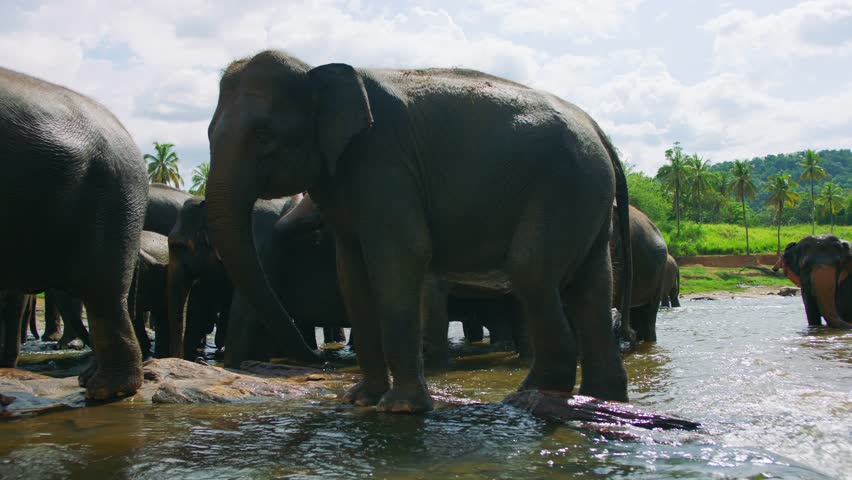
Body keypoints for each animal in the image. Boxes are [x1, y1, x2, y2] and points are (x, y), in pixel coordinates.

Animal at [205, 50, 633, 412]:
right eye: (208, 135)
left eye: (263, 137)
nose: (321, 362)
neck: (319, 71)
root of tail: (598, 129)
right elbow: (352, 271)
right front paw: (359, 400)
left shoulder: (385, 162)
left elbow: (403, 254)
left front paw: (402, 408)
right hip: (587, 194)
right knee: (591, 285)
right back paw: (601, 401)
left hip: (563, 185)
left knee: (532, 271)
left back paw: (526, 397)